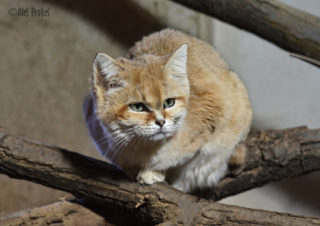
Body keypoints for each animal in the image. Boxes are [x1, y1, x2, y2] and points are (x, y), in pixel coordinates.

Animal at [82, 27, 252, 191]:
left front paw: (152, 172)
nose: (161, 122)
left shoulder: (214, 109)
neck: (143, 148)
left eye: (169, 103)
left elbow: (175, 158)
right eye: (137, 107)